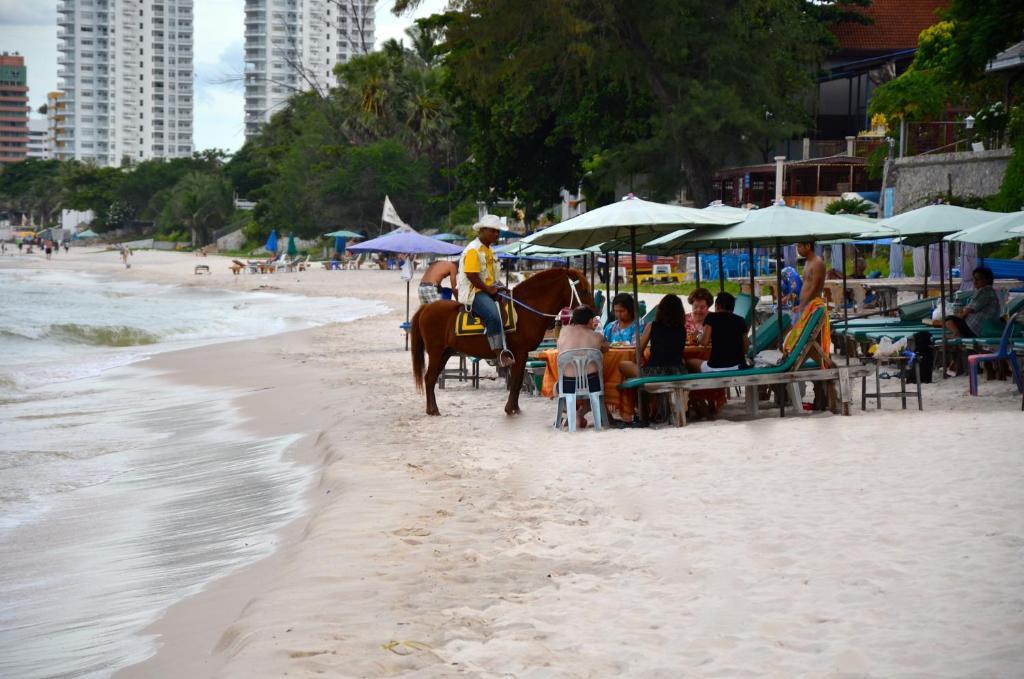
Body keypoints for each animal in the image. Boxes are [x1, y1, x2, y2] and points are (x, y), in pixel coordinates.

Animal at [411, 268, 598, 417]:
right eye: (583, 290)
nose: (594, 316)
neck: (524, 310)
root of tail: (426, 308)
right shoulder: (520, 353)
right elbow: (516, 382)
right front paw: (511, 409)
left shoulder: (521, 355)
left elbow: (517, 381)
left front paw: (514, 407)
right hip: (436, 353)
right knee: (429, 378)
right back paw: (433, 410)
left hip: (445, 353)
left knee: (430, 379)